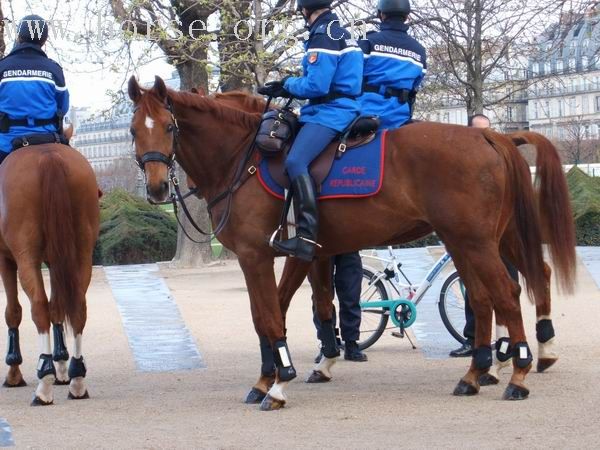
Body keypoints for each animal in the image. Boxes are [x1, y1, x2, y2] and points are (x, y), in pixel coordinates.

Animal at [0, 140, 98, 404]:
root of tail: (47, 155)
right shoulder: (57, 261)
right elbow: (58, 308)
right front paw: (62, 365)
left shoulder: (6, 260)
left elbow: (13, 312)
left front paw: (14, 372)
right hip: (81, 254)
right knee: (78, 308)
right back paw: (77, 378)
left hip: (27, 258)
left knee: (39, 308)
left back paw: (44, 382)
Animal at [129, 77, 576, 412]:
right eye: (134, 130)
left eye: (169, 127)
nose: (155, 188)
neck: (246, 156)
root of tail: (488, 138)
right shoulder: (310, 254)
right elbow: (310, 308)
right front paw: (294, 369)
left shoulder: (259, 257)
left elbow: (270, 316)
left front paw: (277, 383)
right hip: (472, 241)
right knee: (494, 294)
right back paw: (484, 369)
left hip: (476, 242)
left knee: (507, 292)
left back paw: (517, 370)